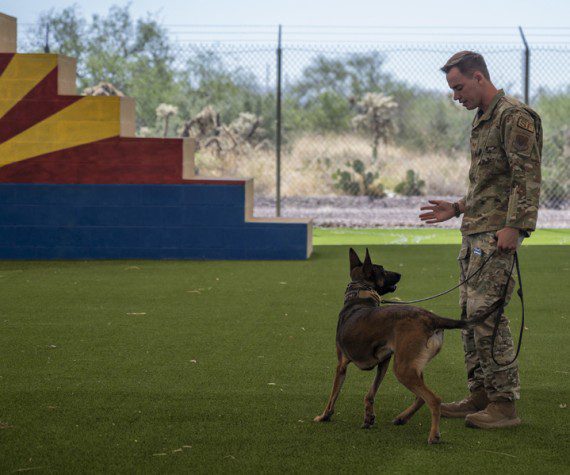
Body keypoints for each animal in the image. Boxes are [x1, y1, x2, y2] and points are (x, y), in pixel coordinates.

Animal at [312, 247, 500, 444]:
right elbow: (370, 394)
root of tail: (431, 317)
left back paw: (433, 435)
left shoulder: (341, 366)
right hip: (411, 366)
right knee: (421, 397)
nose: (400, 274)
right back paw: (402, 418)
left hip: (403, 369)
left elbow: (333, 396)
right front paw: (369, 417)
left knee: (434, 399)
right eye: (383, 270)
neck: (359, 296)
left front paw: (324, 416)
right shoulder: (383, 363)